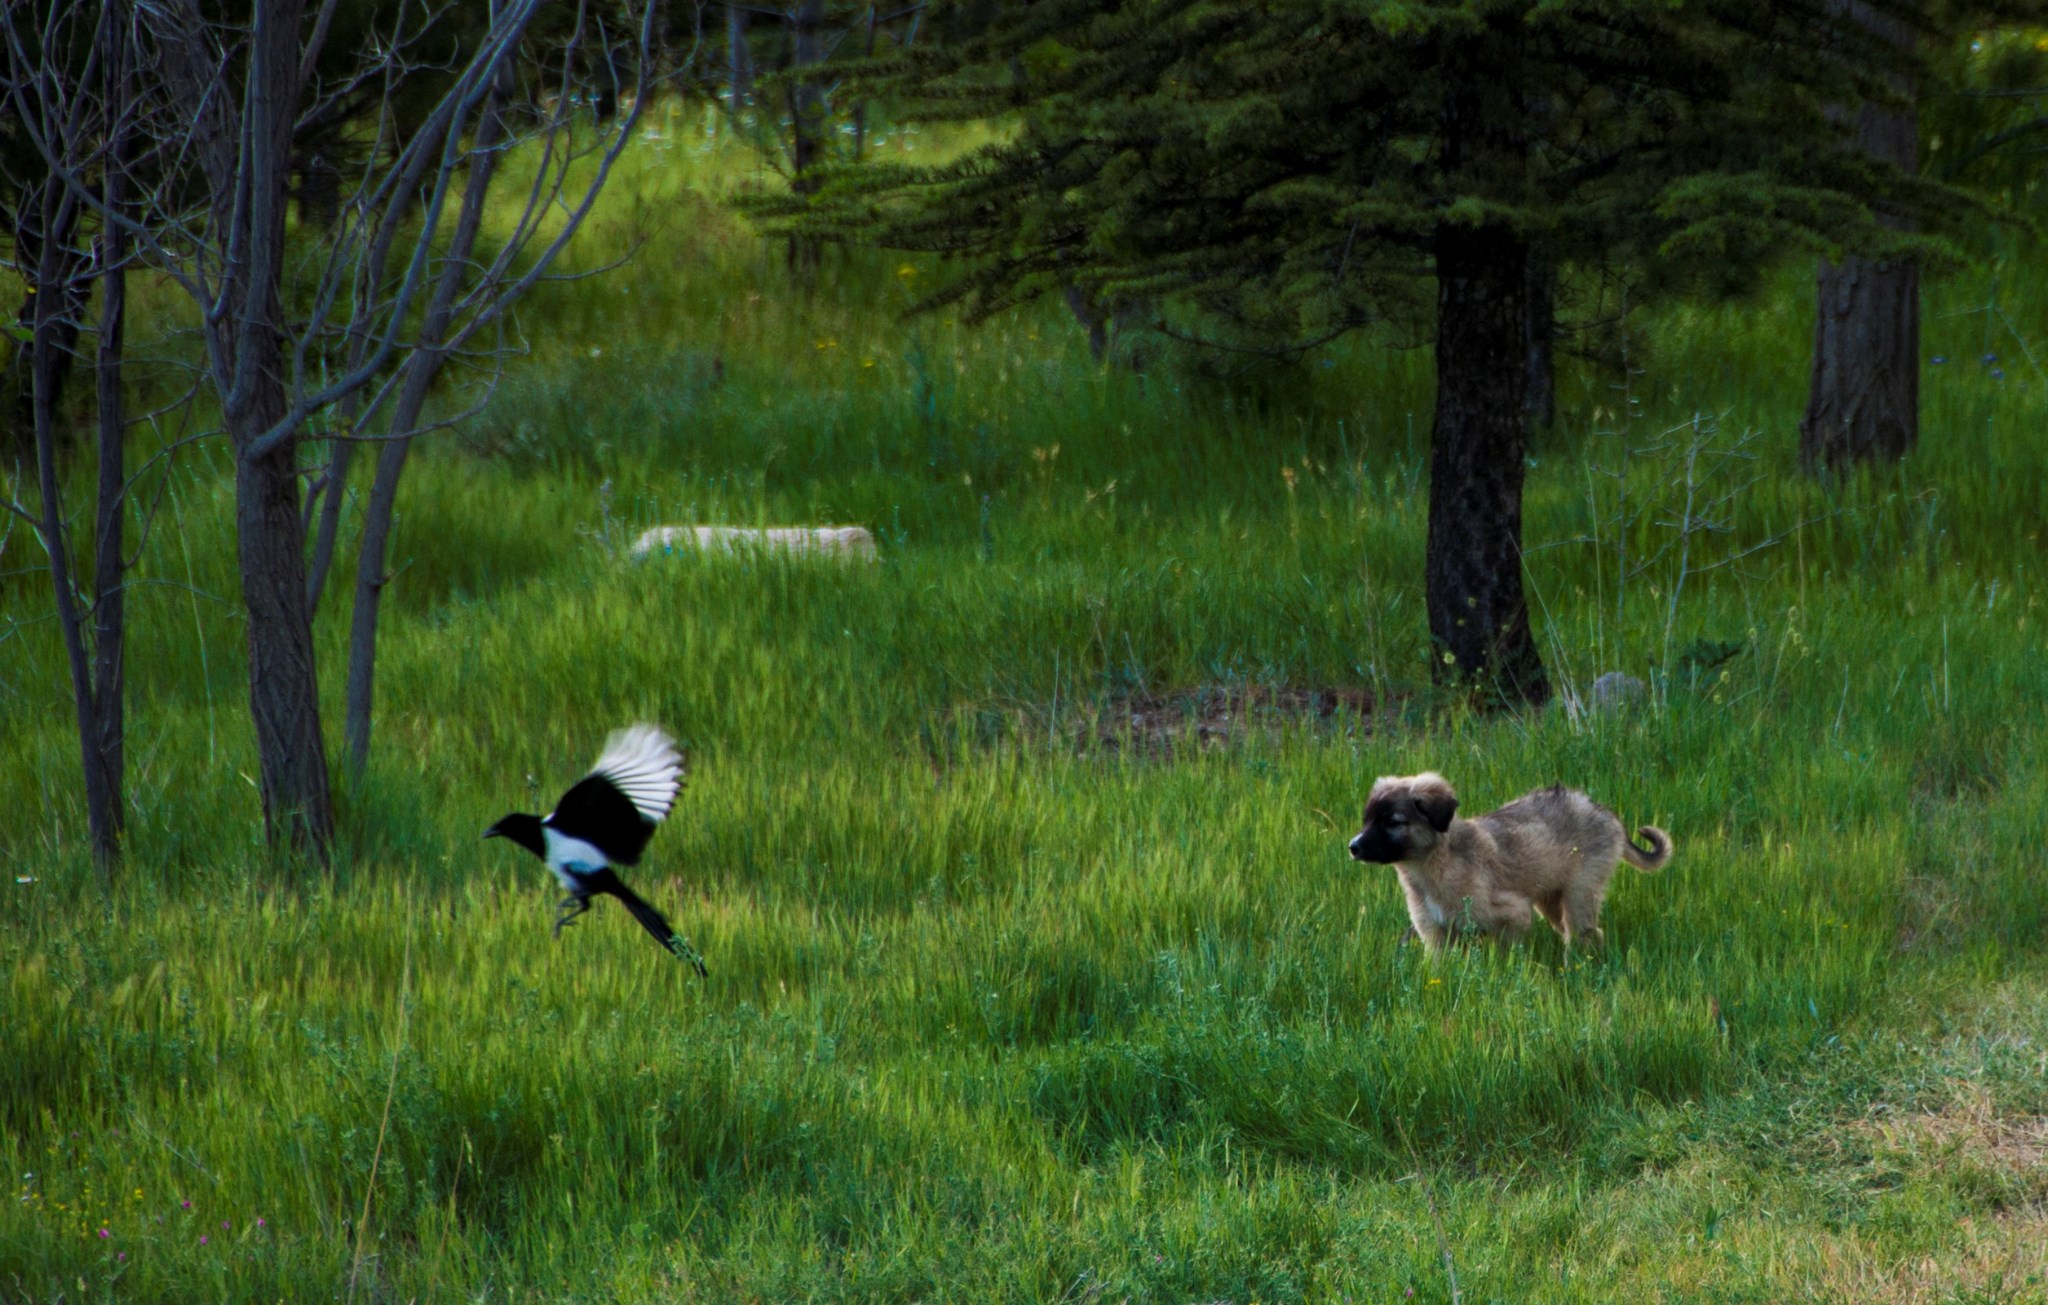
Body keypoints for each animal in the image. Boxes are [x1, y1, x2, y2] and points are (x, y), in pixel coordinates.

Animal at [1351, 770, 1671, 950]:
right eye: (1366, 820)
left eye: (1392, 822)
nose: (1352, 847)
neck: (1435, 866)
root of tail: (1605, 813)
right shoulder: (1436, 936)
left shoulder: (1513, 915)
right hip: (1551, 901)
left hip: (1579, 893)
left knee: (1582, 934)